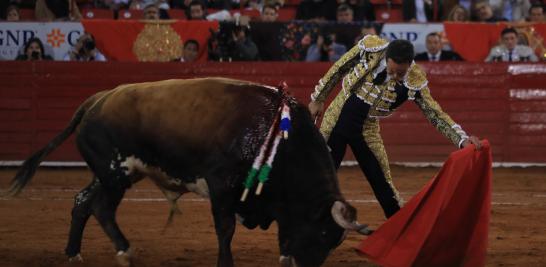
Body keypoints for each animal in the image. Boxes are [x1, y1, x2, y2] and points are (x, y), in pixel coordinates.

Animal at [4, 78, 368, 267]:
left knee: (82, 201)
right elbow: (225, 229)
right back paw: (124, 251)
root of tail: (96, 100)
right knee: (101, 207)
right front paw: (225, 263)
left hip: (112, 173)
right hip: (115, 172)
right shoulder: (222, 187)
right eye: (323, 233)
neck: (277, 136)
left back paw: (73, 253)